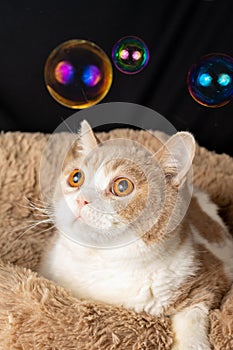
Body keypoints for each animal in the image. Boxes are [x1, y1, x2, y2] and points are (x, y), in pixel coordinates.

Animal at [39, 119, 233, 348]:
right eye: (76, 177)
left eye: (122, 186)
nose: (81, 200)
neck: (100, 261)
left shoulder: (211, 279)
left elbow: (193, 314)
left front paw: (193, 344)